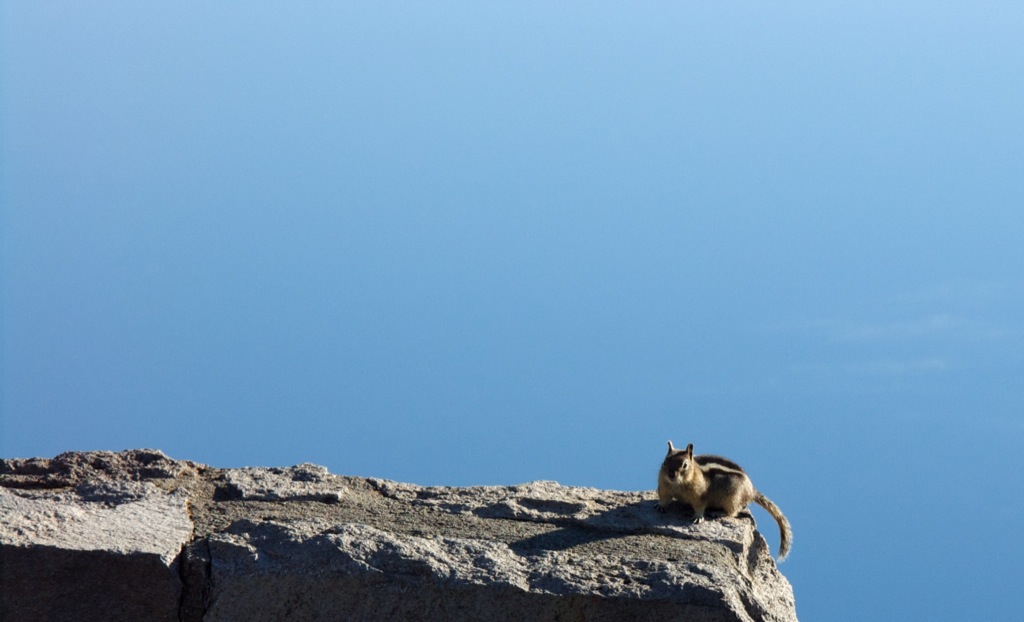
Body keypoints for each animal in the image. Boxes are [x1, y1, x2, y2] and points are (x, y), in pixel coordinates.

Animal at [657, 440, 792, 561]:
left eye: (684, 465)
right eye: (665, 461)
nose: (671, 475)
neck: (678, 483)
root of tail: (751, 492)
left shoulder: (699, 495)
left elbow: (700, 507)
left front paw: (698, 517)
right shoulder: (664, 487)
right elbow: (664, 498)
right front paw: (661, 506)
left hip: (732, 498)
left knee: (733, 512)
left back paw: (718, 513)